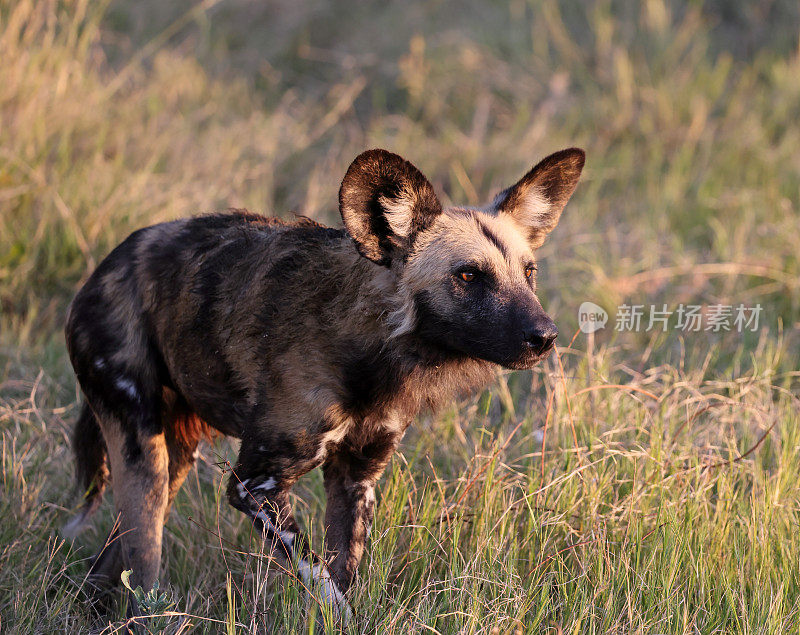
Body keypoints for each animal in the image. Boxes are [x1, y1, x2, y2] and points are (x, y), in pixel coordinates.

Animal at [64, 148, 580, 616]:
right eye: (469, 275)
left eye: (529, 272)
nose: (546, 336)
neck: (373, 355)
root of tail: (106, 265)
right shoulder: (255, 486)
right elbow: (324, 583)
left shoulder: (356, 479)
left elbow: (342, 571)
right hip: (145, 452)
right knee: (143, 558)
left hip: (177, 456)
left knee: (116, 553)